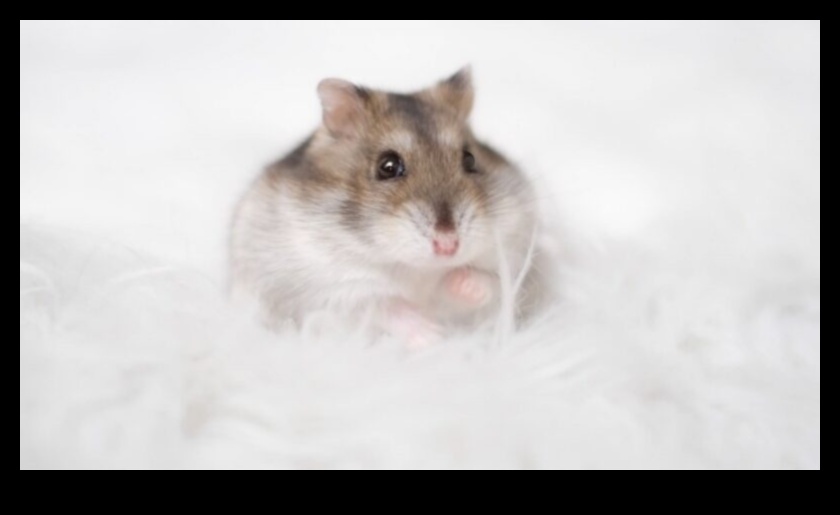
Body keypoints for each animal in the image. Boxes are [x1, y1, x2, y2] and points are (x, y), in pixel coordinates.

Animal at [230, 68, 542, 344]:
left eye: (470, 159)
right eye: (388, 166)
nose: (448, 246)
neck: (416, 268)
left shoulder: (517, 263)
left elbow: (489, 283)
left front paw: (456, 282)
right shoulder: (330, 289)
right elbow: (383, 305)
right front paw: (432, 336)